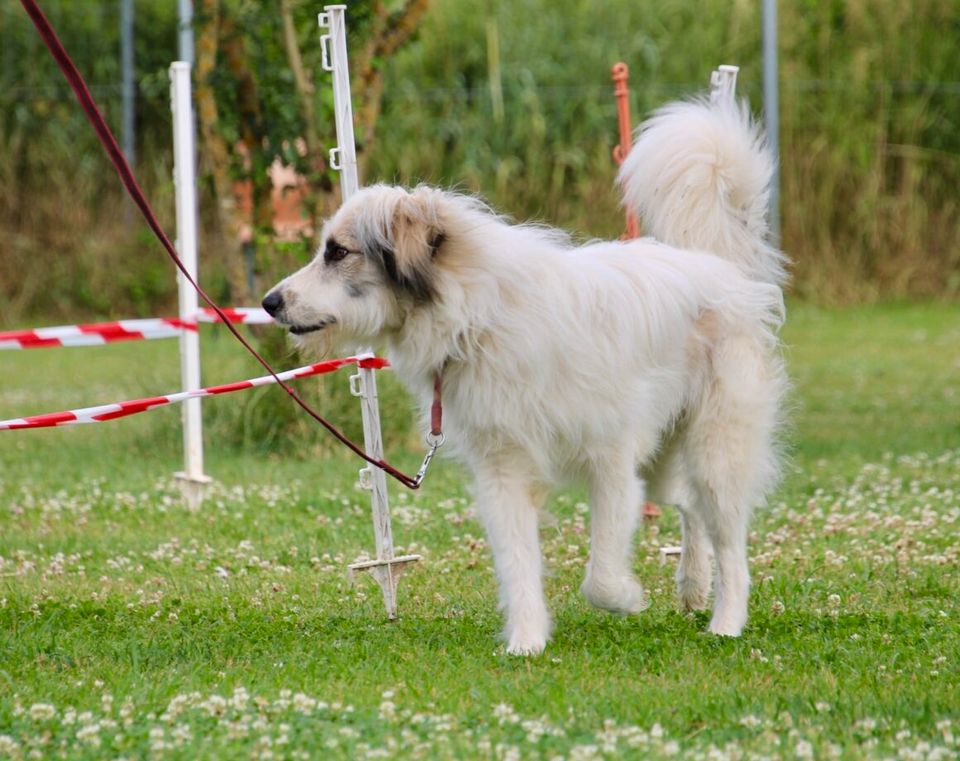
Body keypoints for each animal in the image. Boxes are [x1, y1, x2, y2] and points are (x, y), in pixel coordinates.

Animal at [262, 95, 788, 652]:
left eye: (338, 252)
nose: (269, 303)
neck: (476, 316)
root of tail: (715, 266)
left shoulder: (610, 459)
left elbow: (601, 576)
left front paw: (626, 598)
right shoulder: (503, 468)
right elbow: (518, 564)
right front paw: (527, 642)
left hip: (715, 448)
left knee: (729, 541)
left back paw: (726, 621)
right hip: (664, 459)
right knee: (689, 505)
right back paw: (692, 585)